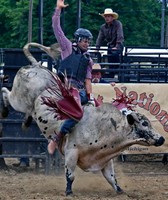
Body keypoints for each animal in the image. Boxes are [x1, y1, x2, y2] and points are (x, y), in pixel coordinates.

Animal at [0, 42, 165, 195]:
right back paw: (5, 111)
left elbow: (111, 178)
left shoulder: (105, 159)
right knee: (5, 92)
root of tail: (36, 67)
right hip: (19, 100)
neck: (104, 128)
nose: (162, 139)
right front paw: (68, 191)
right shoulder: (71, 153)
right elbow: (70, 175)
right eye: (144, 124)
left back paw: (26, 121)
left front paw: (120, 191)